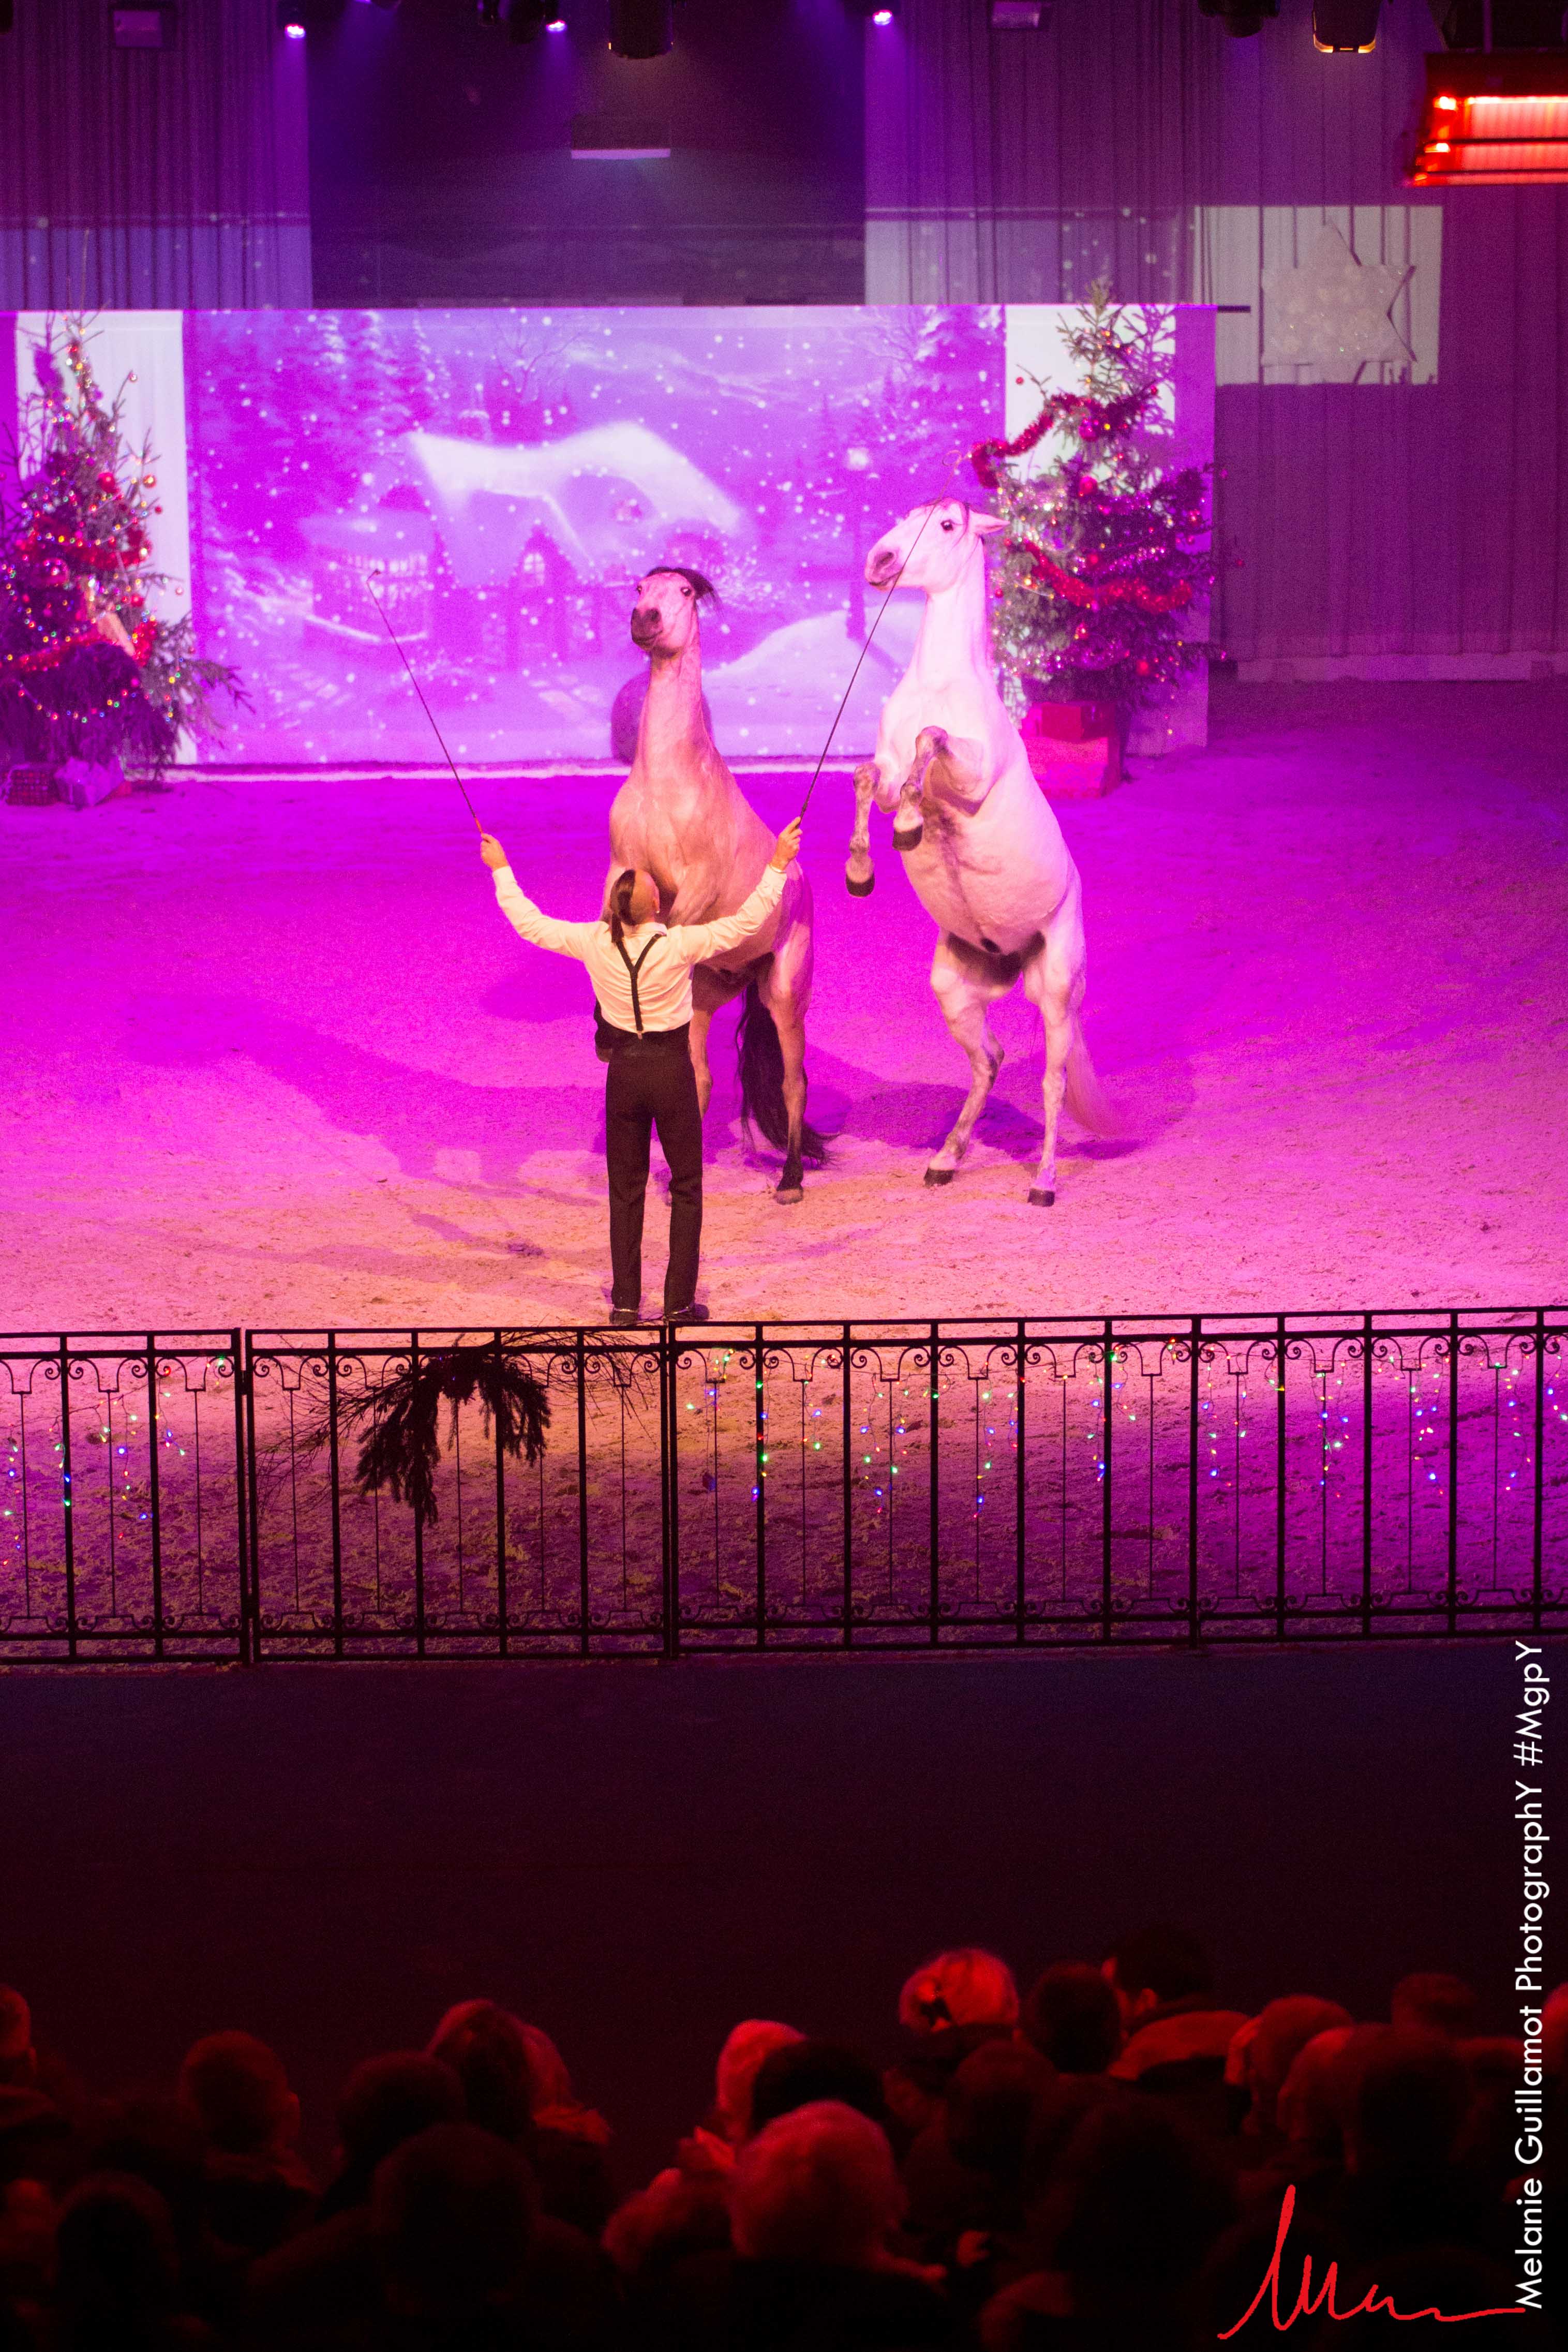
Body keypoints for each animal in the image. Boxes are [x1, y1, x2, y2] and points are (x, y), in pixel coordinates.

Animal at [607, 565, 823, 1203]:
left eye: (682, 592)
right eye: (639, 590)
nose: (645, 620)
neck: (668, 779)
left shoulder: (697, 887)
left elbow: (670, 927)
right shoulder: (621, 866)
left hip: (785, 994)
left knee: (795, 1083)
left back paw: (791, 1180)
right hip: (706, 998)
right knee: (699, 1079)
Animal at [845, 499, 1109, 1204]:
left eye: (945, 525)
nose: (880, 562)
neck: (940, 683)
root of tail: (1011, 959)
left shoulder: (971, 775)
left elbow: (932, 741)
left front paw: (912, 824)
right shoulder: (882, 771)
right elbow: (868, 778)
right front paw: (862, 867)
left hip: (1056, 989)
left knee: (1050, 1081)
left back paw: (1043, 1180)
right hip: (956, 992)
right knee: (988, 1061)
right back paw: (945, 1158)